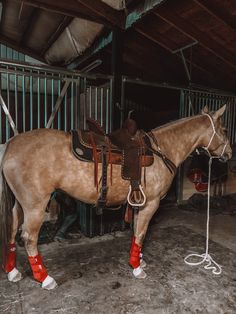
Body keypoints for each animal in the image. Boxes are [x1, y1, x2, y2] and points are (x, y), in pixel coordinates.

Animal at [0, 105, 232, 290]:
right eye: (224, 130)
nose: (229, 154)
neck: (162, 150)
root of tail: (11, 143)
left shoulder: (139, 203)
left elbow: (137, 231)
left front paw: (138, 259)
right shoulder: (151, 203)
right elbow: (141, 233)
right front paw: (137, 268)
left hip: (20, 205)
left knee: (11, 230)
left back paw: (12, 272)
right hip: (35, 207)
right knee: (29, 238)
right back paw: (45, 278)